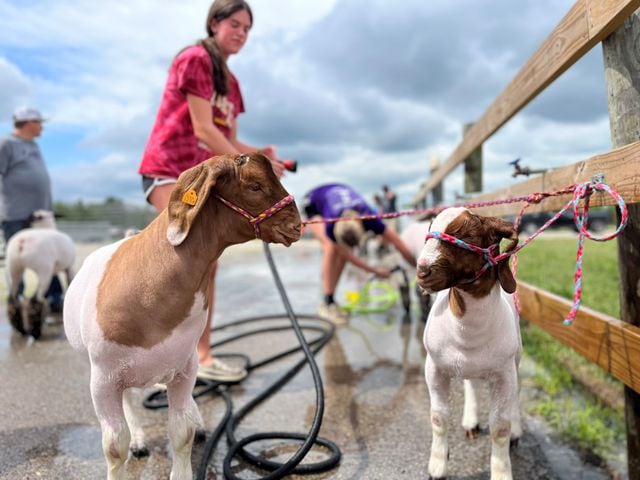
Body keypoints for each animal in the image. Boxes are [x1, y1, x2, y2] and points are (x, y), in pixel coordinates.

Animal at [5, 209, 75, 338]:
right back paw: (34, 332)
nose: (24, 225)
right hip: (43, 269)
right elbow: (69, 284)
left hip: (13, 268)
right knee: (35, 300)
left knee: (13, 299)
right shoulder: (69, 267)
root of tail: (21, 242)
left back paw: (21, 329)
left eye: (32, 218)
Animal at [63, 154, 304, 480]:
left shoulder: (184, 368)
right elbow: (114, 446)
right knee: (128, 403)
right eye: (255, 185)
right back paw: (139, 439)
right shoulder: (103, 378)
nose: (297, 225)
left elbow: (182, 432)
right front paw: (130, 444)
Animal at [418, 206, 524, 480]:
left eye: (463, 234)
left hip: (515, 360)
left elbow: (500, 427)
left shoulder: (504, 373)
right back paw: (471, 420)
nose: (422, 271)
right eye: (429, 228)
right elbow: (438, 418)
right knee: (471, 384)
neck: (468, 333)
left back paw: (517, 431)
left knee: (514, 394)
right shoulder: (434, 367)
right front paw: (437, 466)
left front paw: (501, 472)